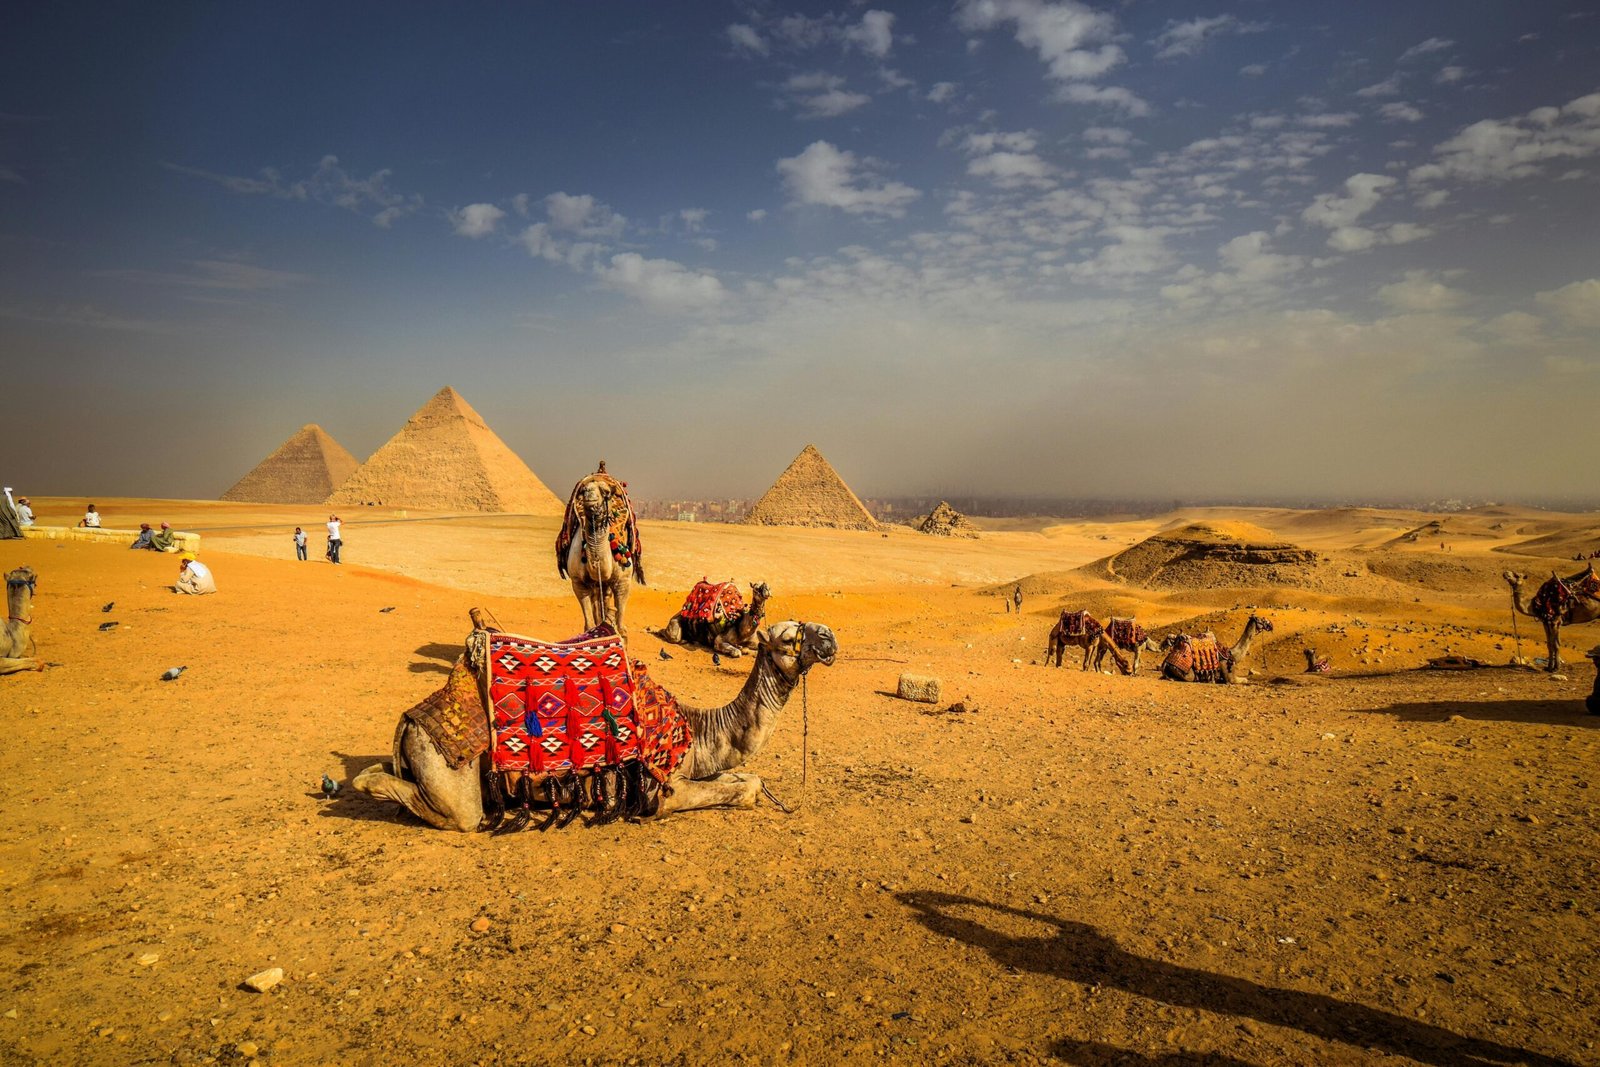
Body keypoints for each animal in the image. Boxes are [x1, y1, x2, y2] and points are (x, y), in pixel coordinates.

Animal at [556, 460, 643, 643]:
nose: (589, 494)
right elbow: (589, 624)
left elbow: (621, 628)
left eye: (606, 492)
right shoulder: (578, 582)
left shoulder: (623, 581)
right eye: (583, 490)